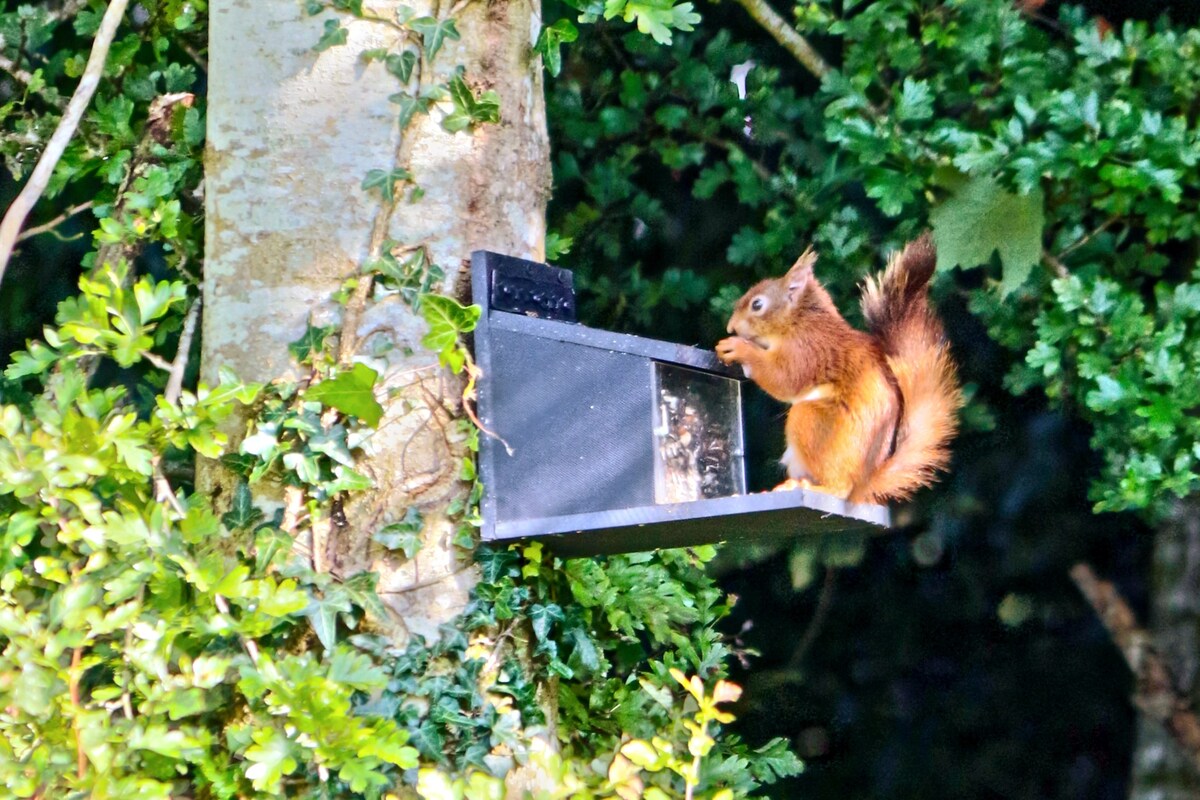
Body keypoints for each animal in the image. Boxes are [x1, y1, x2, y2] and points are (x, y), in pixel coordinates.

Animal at [715, 235, 960, 503]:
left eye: (757, 305)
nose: (730, 328)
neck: (799, 321)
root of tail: (862, 486)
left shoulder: (807, 350)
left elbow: (785, 379)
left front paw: (739, 349)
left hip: (814, 423)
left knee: (838, 487)